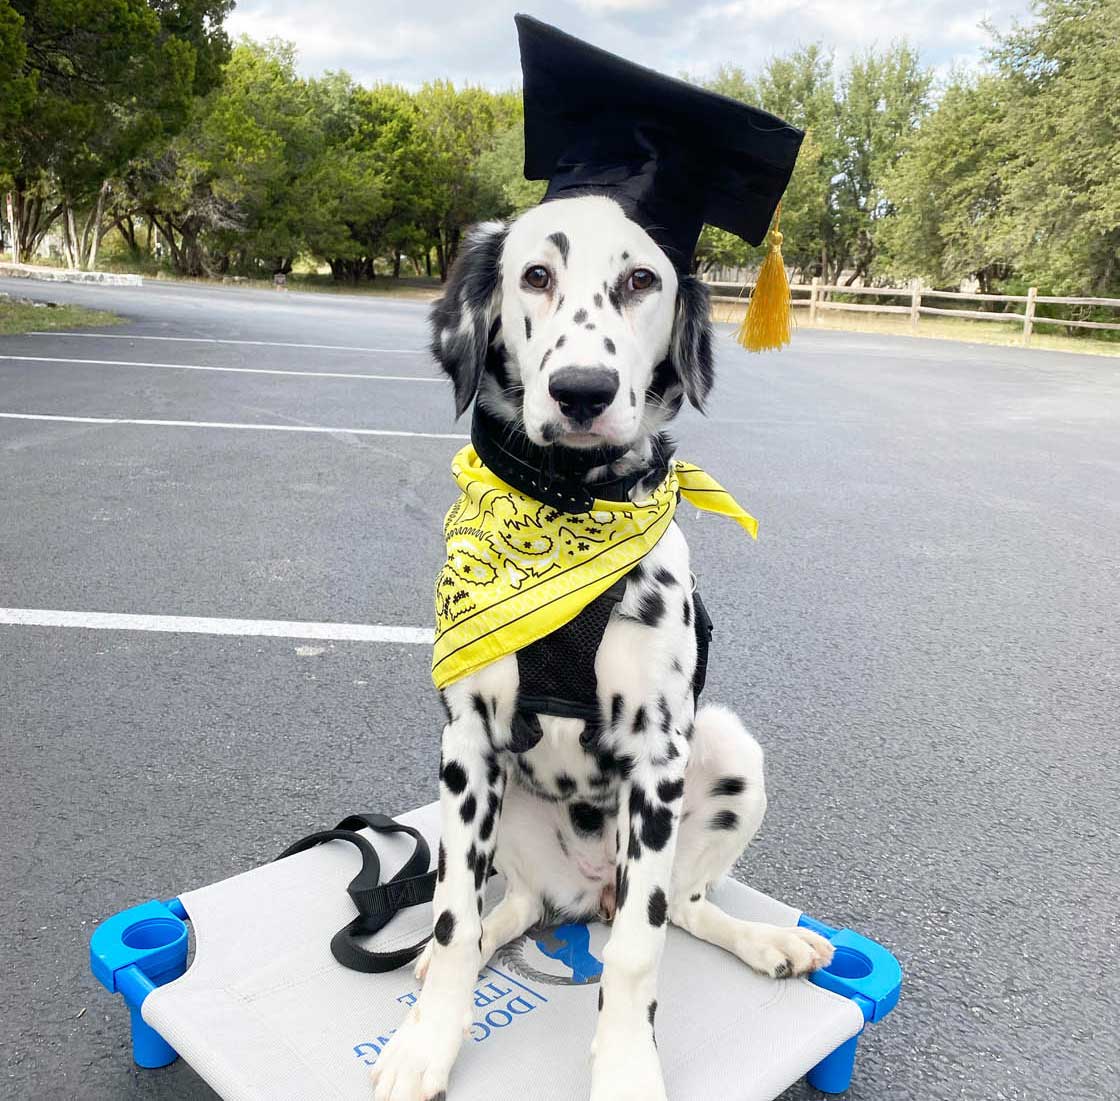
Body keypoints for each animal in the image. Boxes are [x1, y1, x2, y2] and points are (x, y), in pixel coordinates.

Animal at [367, 196, 833, 1101]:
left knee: (680, 906)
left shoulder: (658, 759)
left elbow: (638, 957)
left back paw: (769, 941)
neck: (567, 510)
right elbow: (452, 918)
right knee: (507, 905)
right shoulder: (467, 744)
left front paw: (626, 1068)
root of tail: (583, 894)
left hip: (728, 750)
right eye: (535, 275)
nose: (582, 391)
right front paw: (426, 1041)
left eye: (641, 279)